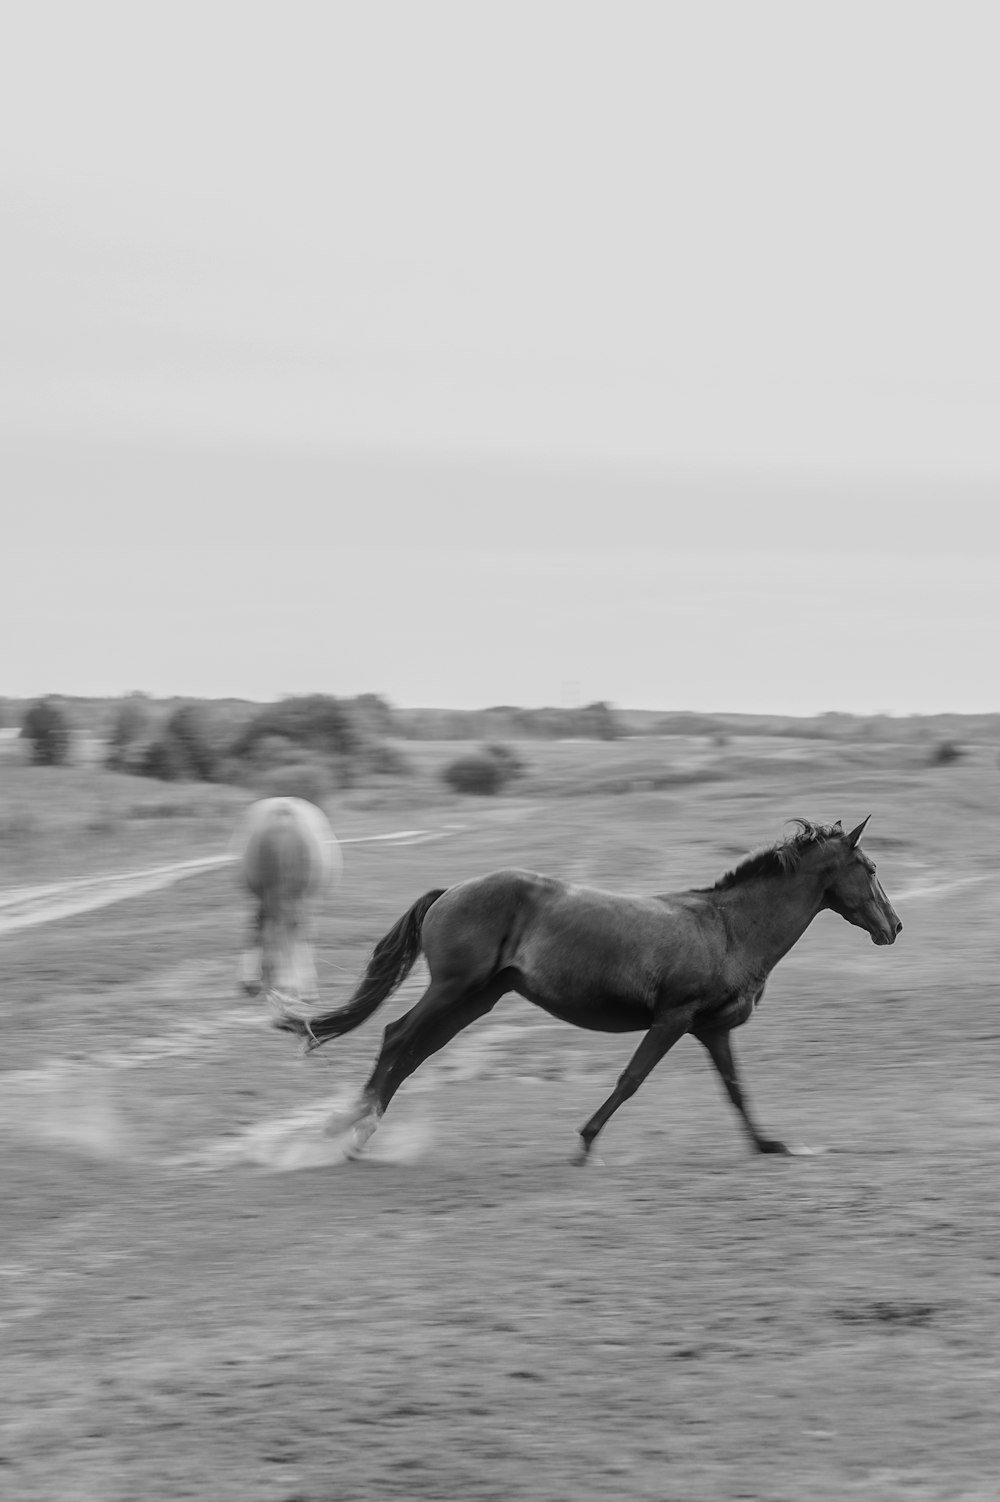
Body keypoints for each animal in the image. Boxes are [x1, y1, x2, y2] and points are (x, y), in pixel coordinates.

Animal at [234, 799, 340, 1021]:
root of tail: (282, 809)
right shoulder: (305, 902)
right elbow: (300, 936)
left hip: (264, 896)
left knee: (260, 927)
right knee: (284, 931)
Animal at [283, 823, 900, 1159]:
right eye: (869, 868)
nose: (894, 927)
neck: (728, 929)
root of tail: (451, 891)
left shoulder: (711, 1029)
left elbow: (735, 1090)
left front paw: (771, 1145)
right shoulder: (674, 1019)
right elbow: (631, 1080)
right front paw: (585, 1142)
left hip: (476, 999)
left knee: (415, 1051)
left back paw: (359, 1130)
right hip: (454, 989)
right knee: (396, 1037)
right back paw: (348, 1128)